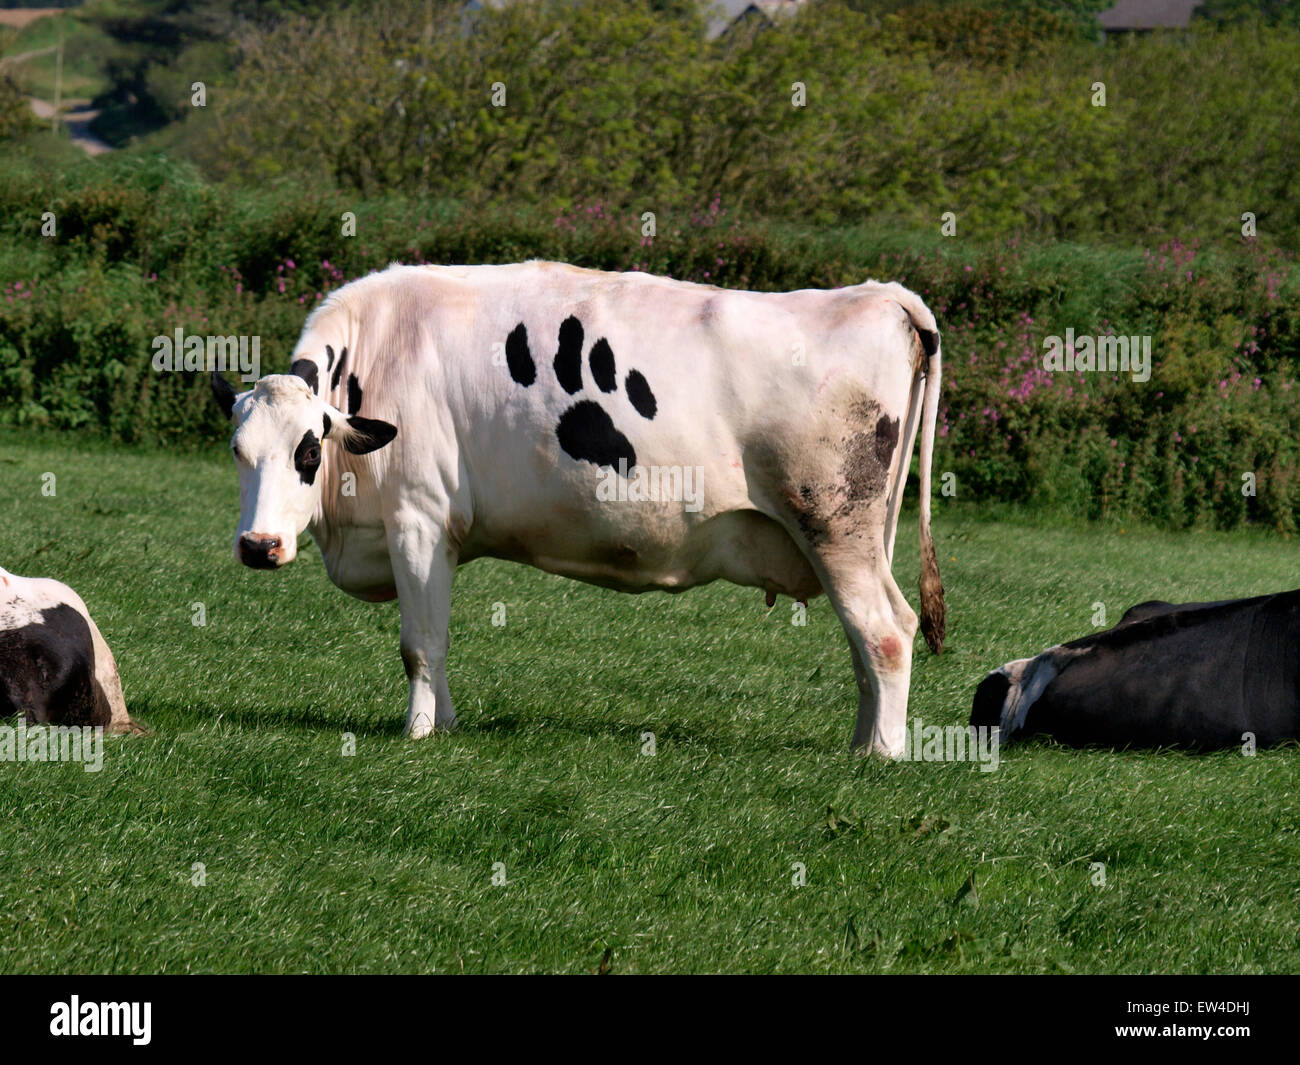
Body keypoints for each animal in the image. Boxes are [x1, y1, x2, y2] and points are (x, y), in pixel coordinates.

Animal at [210, 261, 946, 754]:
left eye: (308, 450)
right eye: (238, 451)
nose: (258, 546)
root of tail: (878, 294)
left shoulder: (416, 519)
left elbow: (419, 644)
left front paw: (417, 734)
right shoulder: (441, 536)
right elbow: (439, 640)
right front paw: (444, 724)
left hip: (836, 527)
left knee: (885, 631)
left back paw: (882, 754)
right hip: (850, 541)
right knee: (864, 640)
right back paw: (860, 741)